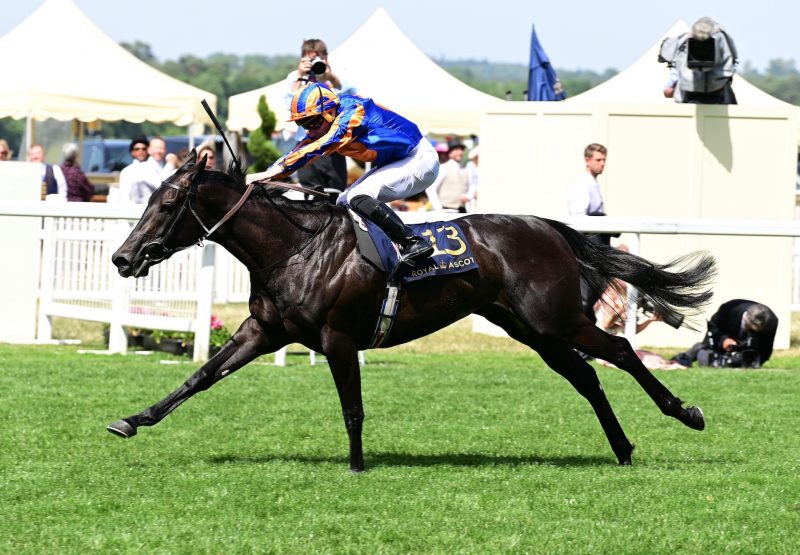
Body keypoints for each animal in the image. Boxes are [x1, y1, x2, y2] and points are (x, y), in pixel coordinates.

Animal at [106, 152, 712, 474]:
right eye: (149, 197)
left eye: (166, 203)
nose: (122, 257)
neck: (293, 247)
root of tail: (548, 227)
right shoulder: (265, 329)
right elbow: (202, 375)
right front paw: (132, 419)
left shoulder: (338, 337)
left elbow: (352, 407)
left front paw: (356, 465)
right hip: (530, 329)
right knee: (586, 376)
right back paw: (623, 449)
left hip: (555, 318)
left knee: (622, 351)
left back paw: (685, 412)